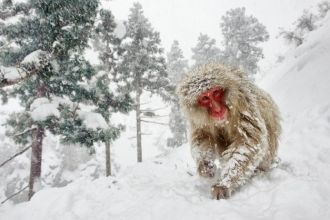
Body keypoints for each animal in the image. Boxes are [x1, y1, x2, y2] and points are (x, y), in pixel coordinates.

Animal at [178, 62, 282, 199]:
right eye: (205, 98)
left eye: (216, 92)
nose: (217, 109)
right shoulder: (197, 118)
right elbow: (203, 135)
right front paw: (205, 165)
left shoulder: (242, 103)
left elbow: (248, 142)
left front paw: (223, 184)